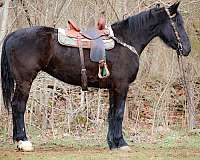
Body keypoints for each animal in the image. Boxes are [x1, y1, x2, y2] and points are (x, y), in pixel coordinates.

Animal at [0, 1, 191, 151]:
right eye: (177, 23)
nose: (187, 49)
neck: (125, 41)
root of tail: (12, 35)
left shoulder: (113, 87)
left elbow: (111, 113)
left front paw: (113, 143)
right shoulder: (122, 86)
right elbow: (119, 113)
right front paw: (122, 143)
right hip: (25, 81)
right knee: (18, 106)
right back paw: (23, 142)